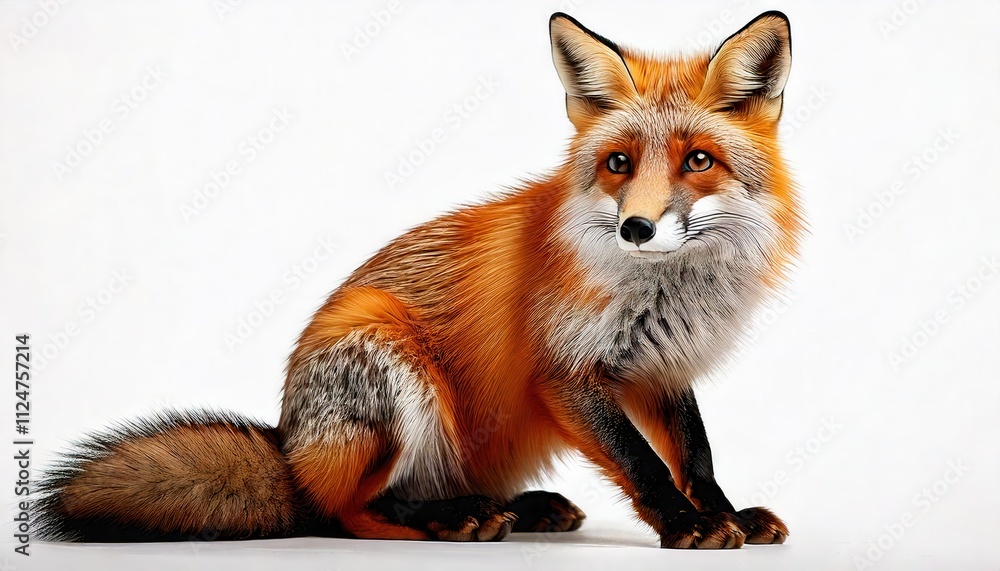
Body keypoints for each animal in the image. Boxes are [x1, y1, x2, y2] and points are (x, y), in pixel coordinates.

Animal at [37, 11, 801, 549]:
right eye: (619, 163)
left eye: (698, 160)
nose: (636, 228)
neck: (667, 291)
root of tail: (291, 451)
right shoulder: (567, 370)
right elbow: (644, 463)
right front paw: (687, 526)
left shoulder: (661, 367)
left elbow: (695, 455)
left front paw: (726, 514)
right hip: (388, 359)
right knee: (348, 511)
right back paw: (452, 519)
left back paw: (515, 507)